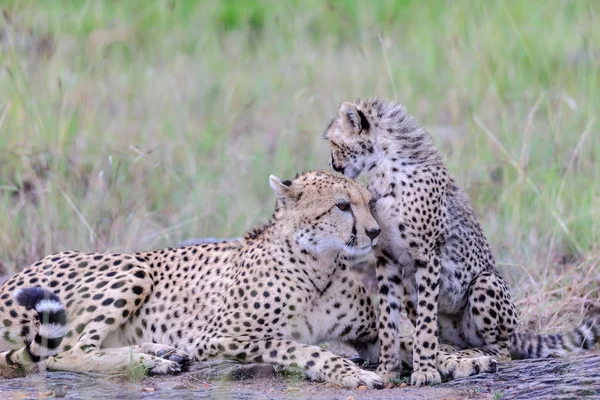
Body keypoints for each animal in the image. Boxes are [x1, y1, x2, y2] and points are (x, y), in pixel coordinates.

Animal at [0, 170, 384, 390]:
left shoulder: (371, 330)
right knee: (66, 352)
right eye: (342, 206)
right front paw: (351, 372)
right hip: (132, 266)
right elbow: (302, 347)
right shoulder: (217, 337)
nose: (375, 232)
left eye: (369, 202)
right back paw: (148, 361)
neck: (320, 263)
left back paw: (159, 351)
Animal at [326, 98, 596, 386]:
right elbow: (389, 320)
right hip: (415, 295)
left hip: (485, 283)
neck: (385, 169)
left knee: (501, 351)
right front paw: (388, 370)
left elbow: (425, 324)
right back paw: (452, 350)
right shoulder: (386, 259)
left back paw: (473, 355)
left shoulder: (427, 256)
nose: (333, 164)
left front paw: (425, 371)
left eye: (334, 143)